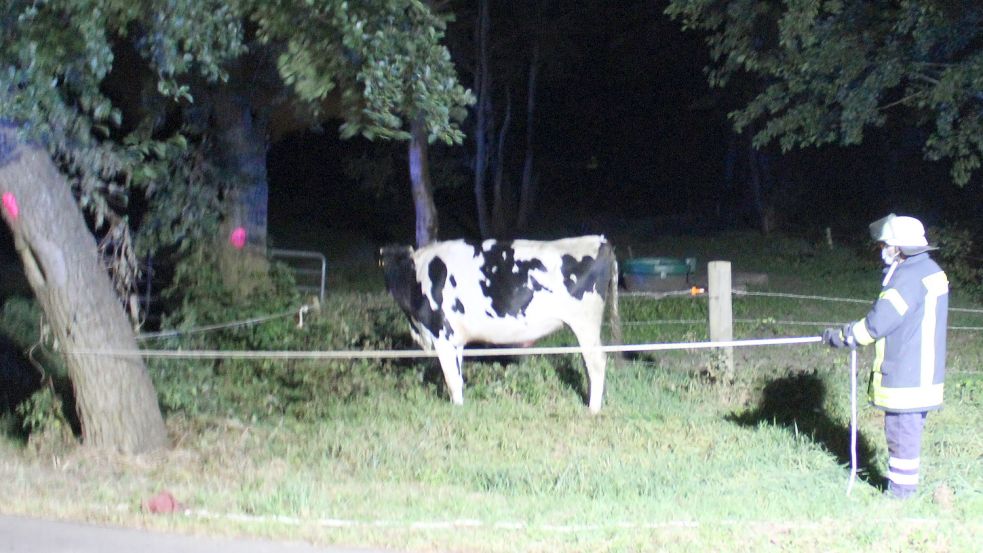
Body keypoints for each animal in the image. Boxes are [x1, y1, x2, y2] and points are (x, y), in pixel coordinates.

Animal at [380, 235, 620, 412]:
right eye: (384, 263)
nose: (390, 285)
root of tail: (599, 240)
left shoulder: (442, 335)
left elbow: (451, 378)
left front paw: (456, 410)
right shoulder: (455, 340)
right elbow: (457, 377)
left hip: (585, 323)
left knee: (596, 363)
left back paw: (592, 409)